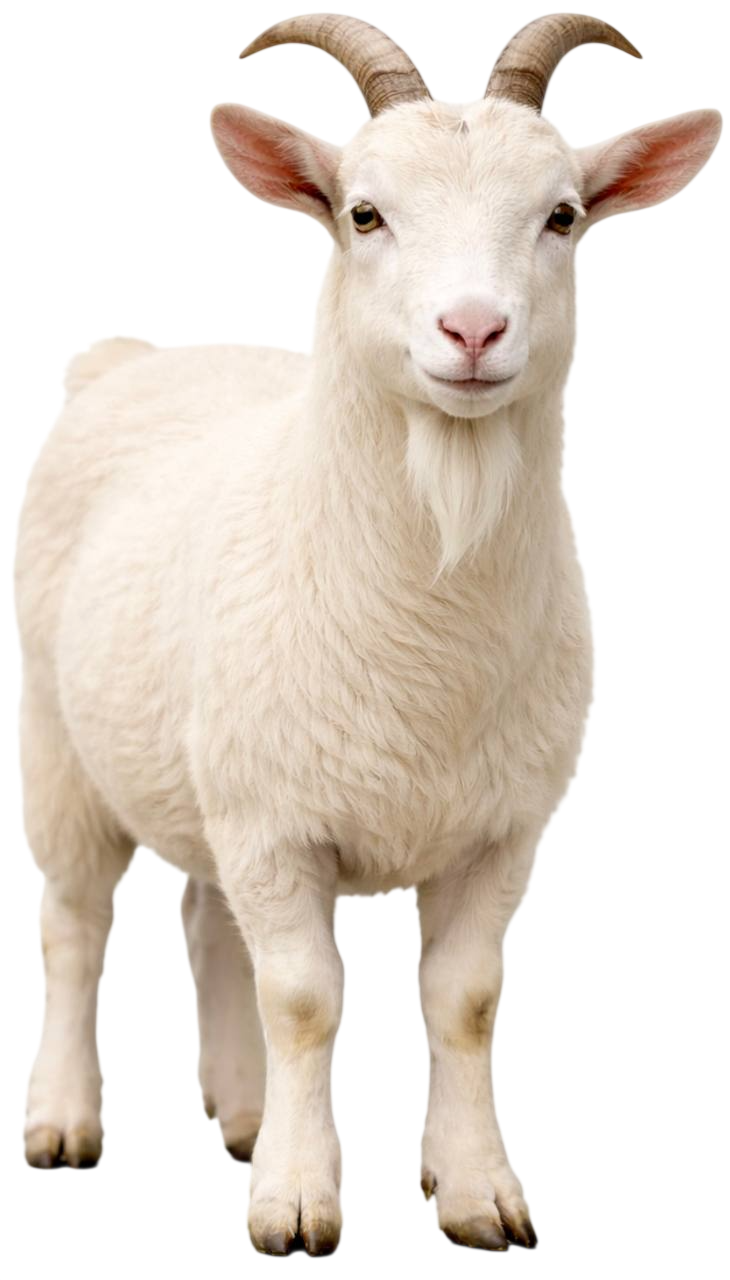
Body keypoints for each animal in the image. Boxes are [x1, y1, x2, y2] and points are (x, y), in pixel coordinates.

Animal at [13, 9, 722, 1254]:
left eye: (561, 215)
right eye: (363, 214)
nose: (473, 329)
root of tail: (130, 355)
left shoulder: (500, 831)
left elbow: (464, 998)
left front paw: (476, 1188)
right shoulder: (277, 823)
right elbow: (307, 998)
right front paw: (298, 1201)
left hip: (212, 772)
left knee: (204, 914)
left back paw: (242, 1111)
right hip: (55, 737)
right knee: (76, 918)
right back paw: (64, 1120)